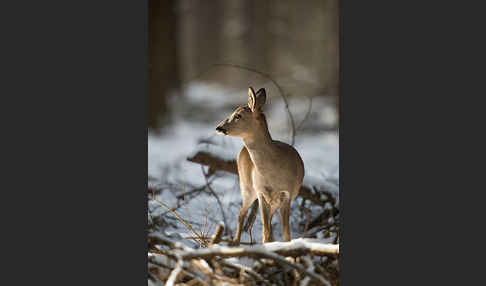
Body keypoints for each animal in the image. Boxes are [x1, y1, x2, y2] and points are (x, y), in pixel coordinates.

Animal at [215, 86, 304, 244]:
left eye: (238, 115)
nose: (219, 128)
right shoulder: (261, 192)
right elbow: (265, 230)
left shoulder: (287, 194)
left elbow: (285, 232)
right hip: (246, 186)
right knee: (241, 215)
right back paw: (236, 242)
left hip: (270, 200)